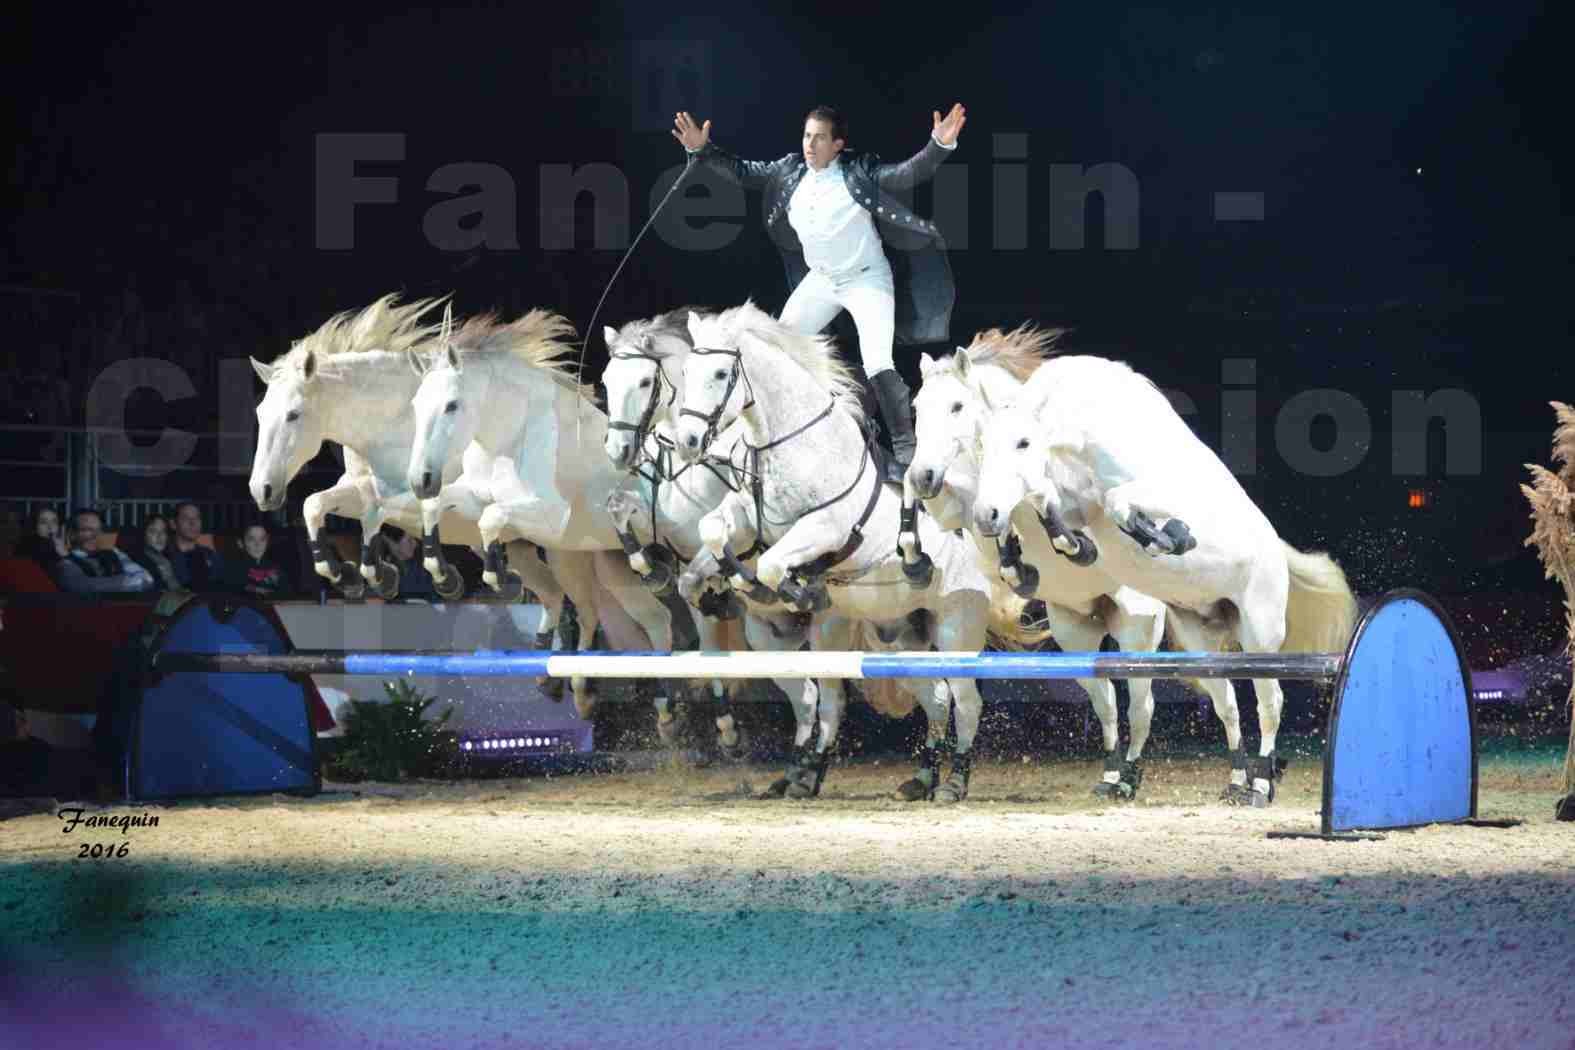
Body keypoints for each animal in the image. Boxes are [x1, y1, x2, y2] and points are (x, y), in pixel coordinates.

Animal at [409, 308, 693, 743]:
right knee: (630, 617)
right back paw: (590, 692)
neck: (511, 435)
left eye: (452, 405)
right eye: (415, 404)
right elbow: (436, 509)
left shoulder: (545, 514)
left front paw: (500, 578)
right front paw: (445, 577)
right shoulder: (476, 496)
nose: (420, 479)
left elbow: (492, 520)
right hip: (594, 565)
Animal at [667, 299, 1020, 799]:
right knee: (933, 697)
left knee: (966, 701)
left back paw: (953, 782)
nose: (689, 443)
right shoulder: (745, 517)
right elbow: (711, 533)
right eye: (685, 372)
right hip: (902, 638)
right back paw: (918, 778)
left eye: (720, 373)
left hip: (957, 628)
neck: (793, 443)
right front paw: (717, 587)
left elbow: (772, 564)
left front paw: (795, 589)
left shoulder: (825, 528)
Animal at [900, 324, 1184, 799]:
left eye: (957, 406)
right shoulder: (960, 510)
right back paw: (1109, 774)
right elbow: (931, 499)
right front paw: (916, 561)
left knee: (1141, 705)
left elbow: (1043, 501)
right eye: (917, 408)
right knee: (1107, 702)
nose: (927, 475)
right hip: (1075, 633)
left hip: (1136, 630)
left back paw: (1129, 778)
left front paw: (1071, 547)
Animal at [970, 352, 1354, 805]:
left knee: (1270, 701)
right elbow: (1046, 505)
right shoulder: (1071, 502)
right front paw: (1050, 553)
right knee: (1228, 703)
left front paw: (1170, 537)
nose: (985, 515)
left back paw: (1261, 784)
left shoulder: (1154, 492)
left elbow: (1117, 502)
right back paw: (1237, 780)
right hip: (1201, 638)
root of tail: (1276, 547)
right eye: (982, 444)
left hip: (1260, 629)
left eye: (1023, 443)